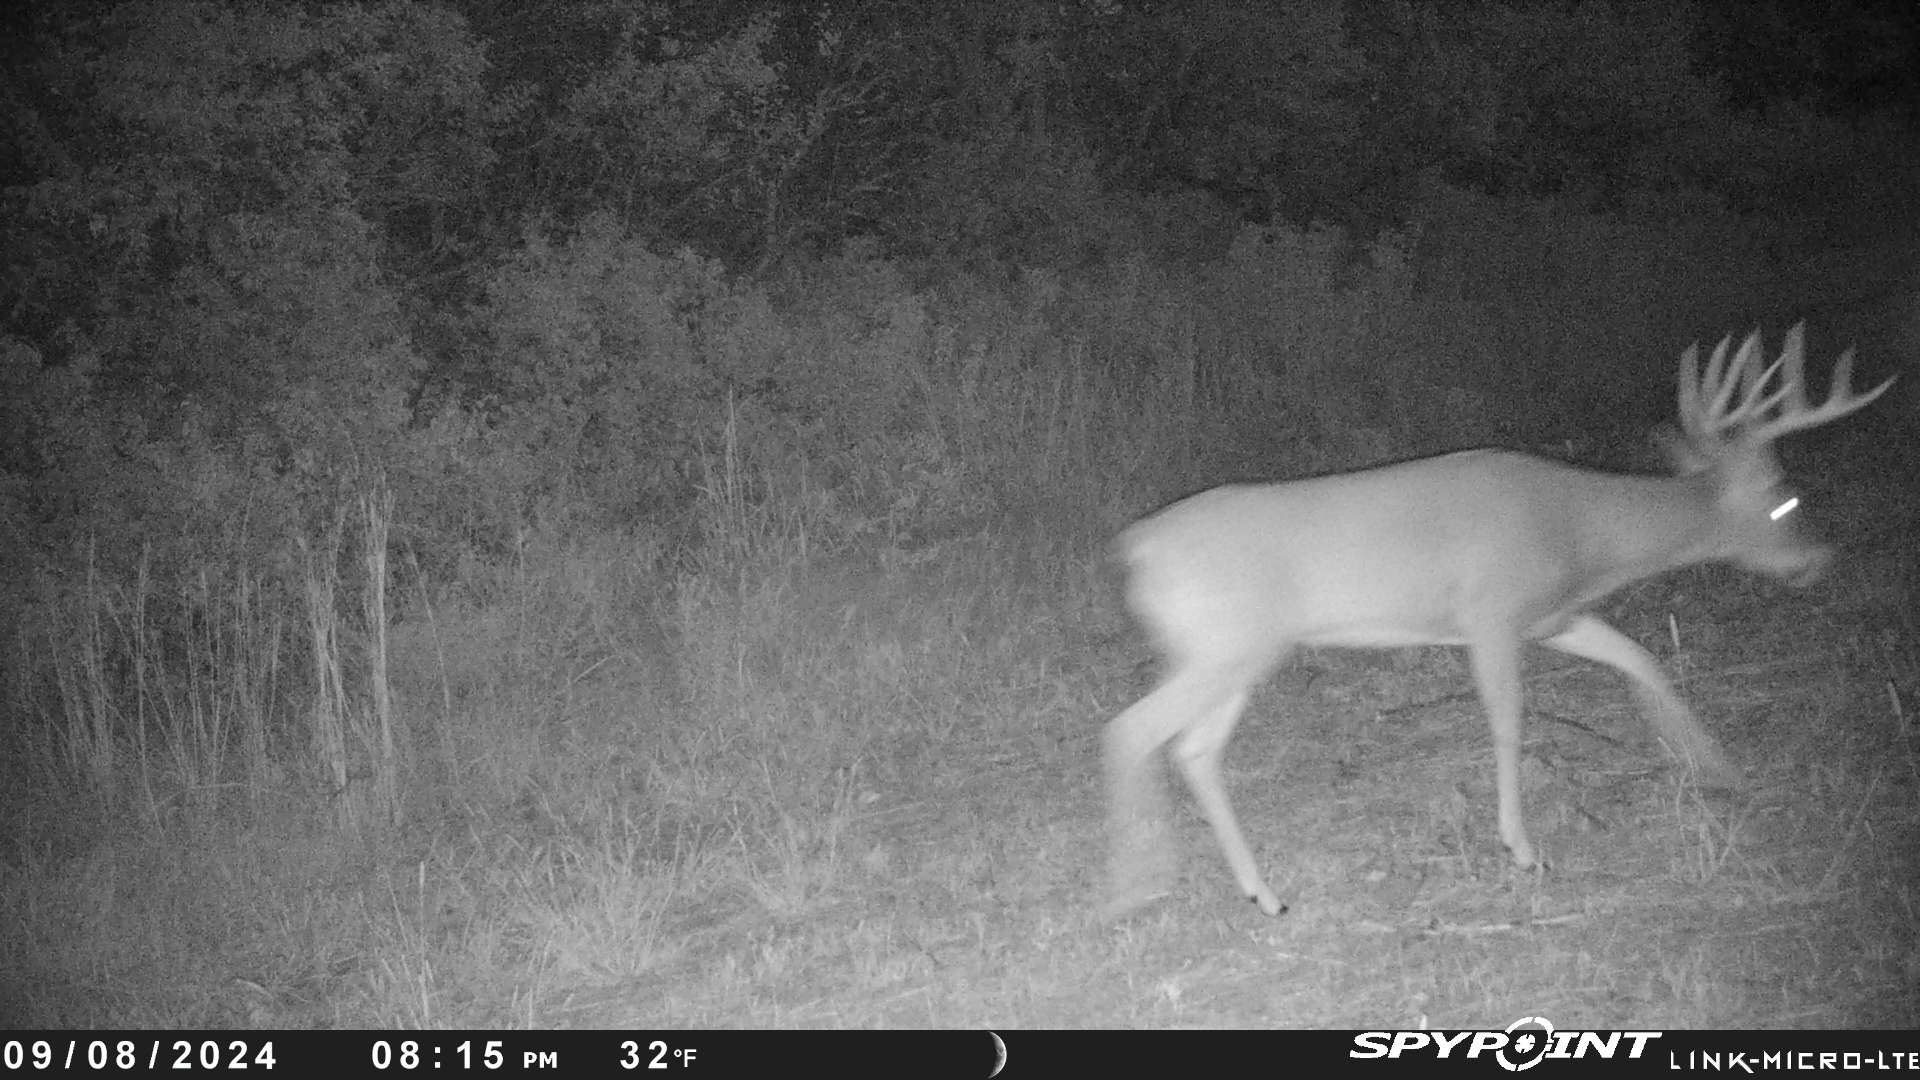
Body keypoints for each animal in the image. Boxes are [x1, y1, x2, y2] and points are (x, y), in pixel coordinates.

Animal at [1105, 323, 1895, 917]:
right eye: (1786, 502)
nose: (1820, 559)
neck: (1582, 533)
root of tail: (1136, 548)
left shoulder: (1555, 616)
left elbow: (1643, 659)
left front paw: (1718, 767)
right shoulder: (1492, 611)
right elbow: (1509, 720)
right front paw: (1522, 848)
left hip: (1234, 655)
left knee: (1193, 750)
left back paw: (1261, 893)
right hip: (1227, 646)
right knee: (1130, 731)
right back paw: (1139, 886)